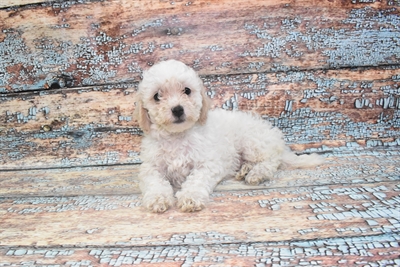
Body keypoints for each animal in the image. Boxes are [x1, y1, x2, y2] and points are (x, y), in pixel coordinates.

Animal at [134, 60, 322, 214]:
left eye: (187, 91)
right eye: (157, 96)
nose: (178, 109)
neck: (177, 135)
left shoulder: (208, 164)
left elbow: (196, 180)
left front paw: (191, 197)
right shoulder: (151, 167)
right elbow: (155, 182)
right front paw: (158, 199)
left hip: (253, 142)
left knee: (271, 161)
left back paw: (256, 173)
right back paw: (244, 169)